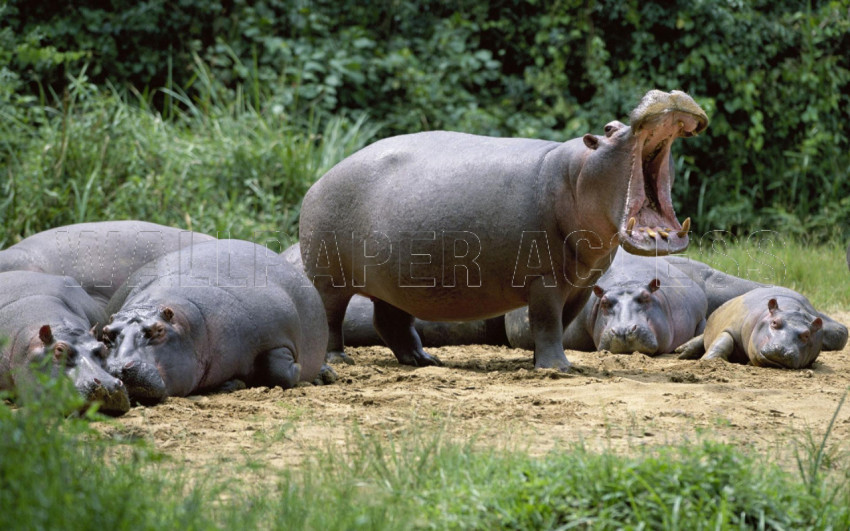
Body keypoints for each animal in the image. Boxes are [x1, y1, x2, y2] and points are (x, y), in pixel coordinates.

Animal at [103, 239, 330, 402]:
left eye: (158, 330)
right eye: (106, 333)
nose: (117, 369)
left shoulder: (277, 335)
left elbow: (279, 371)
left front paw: (299, 369)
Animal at [675, 287, 848, 368]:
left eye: (806, 334)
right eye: (774, 322)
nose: (781, 349)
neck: (791, 309)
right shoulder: (732, 327)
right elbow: (723, 341)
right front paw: (709, 361)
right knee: (702, 338)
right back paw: (681, 352)